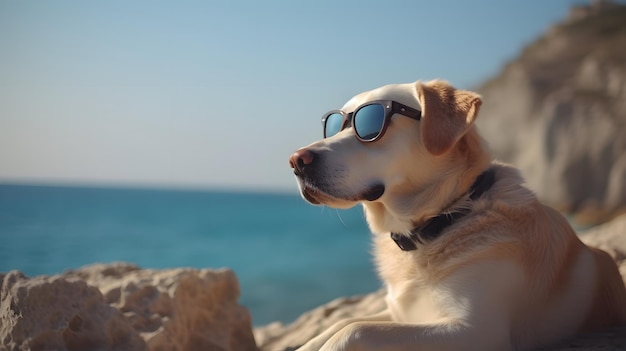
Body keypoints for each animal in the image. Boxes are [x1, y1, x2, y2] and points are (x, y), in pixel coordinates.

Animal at [286, 80, 624, 351]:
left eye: (368, 123)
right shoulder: (398, 312)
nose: (296, 161)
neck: (443, 220)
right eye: (333, 125)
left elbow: (355, 330)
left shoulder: (477, 330)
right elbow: (338, 325)